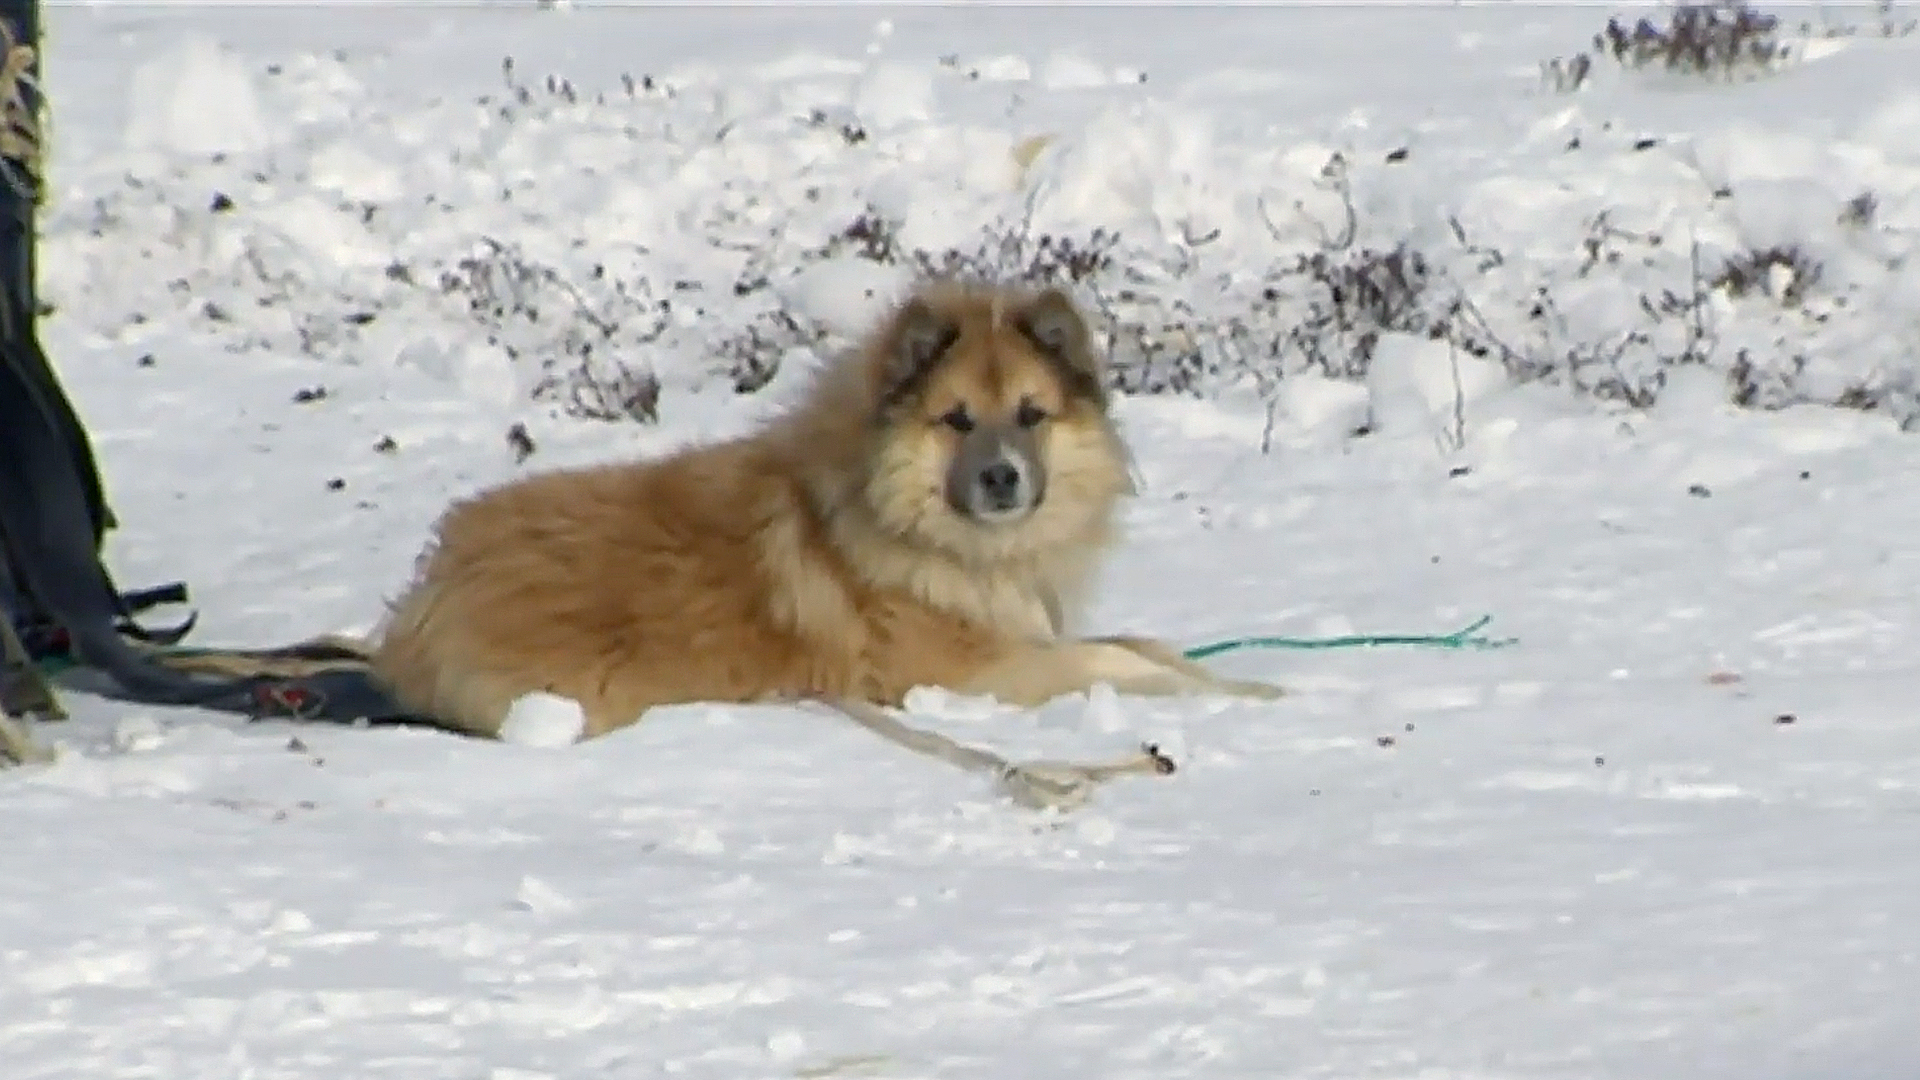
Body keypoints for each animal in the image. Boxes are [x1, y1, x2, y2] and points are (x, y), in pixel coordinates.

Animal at [366, 274, 1282, 780]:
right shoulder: (973, 672)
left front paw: (1249, 682)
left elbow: (1145, 647)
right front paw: (1244, 691)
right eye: (955, 420)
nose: (1001, 478)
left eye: (1031, 414)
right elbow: (1117, 661)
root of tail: (423, 604)